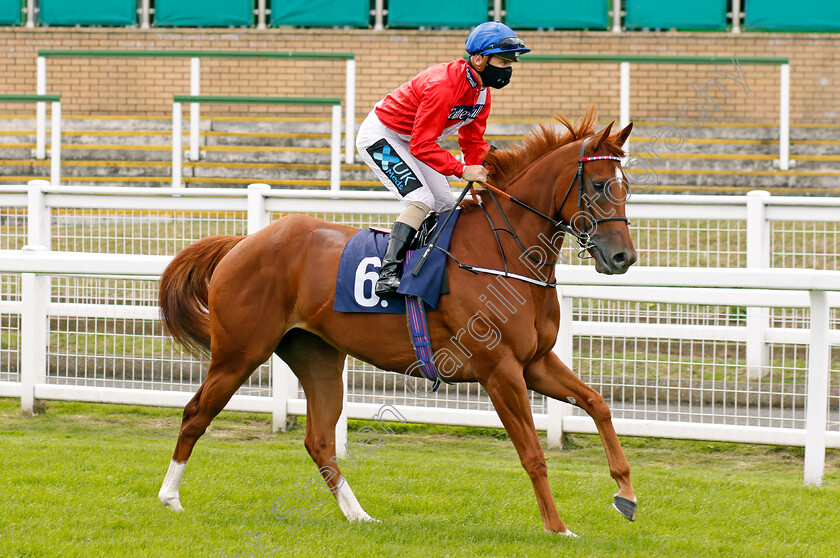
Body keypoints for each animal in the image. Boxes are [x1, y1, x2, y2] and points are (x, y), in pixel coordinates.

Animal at [156, 110, 636, 540]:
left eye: (627, 186)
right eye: (598, 185)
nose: (623, 258)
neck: (504, 254)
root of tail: (243, 242)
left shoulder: (534, 361)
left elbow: (597, 404)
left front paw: (626, 494)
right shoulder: (499, 369)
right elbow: (533, 452)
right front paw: (557, 527)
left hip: (317, 356)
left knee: (319, 439)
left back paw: (358, 515)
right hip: (240, 352)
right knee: (196, 413)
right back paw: (170, 498)